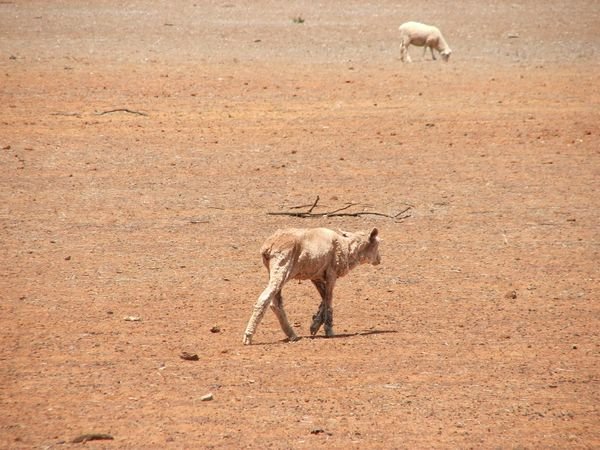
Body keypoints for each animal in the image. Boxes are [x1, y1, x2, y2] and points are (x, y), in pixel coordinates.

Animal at [243, 229, 380, 344]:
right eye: (377, 244)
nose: (379, 260)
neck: (347, 247)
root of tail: (268, 246)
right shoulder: (331, 274)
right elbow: (329, 300)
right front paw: (328, 330)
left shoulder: (316, 276)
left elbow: (324, 299)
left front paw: (315, 324)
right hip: (281, 268)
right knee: (264, 299)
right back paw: (248, 336)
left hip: (274, 272)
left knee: (276, 304)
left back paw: (292, 335)